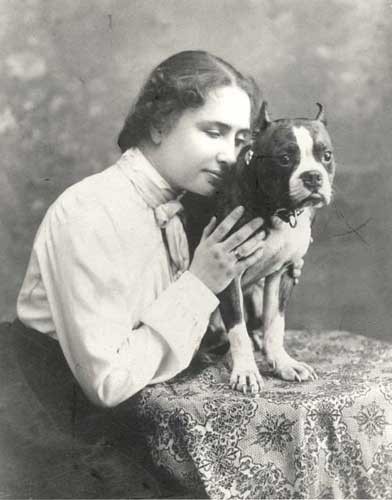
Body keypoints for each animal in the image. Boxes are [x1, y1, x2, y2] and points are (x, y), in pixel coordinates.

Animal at [183, 102, 334, 394]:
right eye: (284, 158)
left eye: (327, 155)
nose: (312, 176)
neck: (277, 209)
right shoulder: (228, 272)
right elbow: (237, 328)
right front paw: (246, 371)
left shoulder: (281, 274)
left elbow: (275, 323)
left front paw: (283, 363)